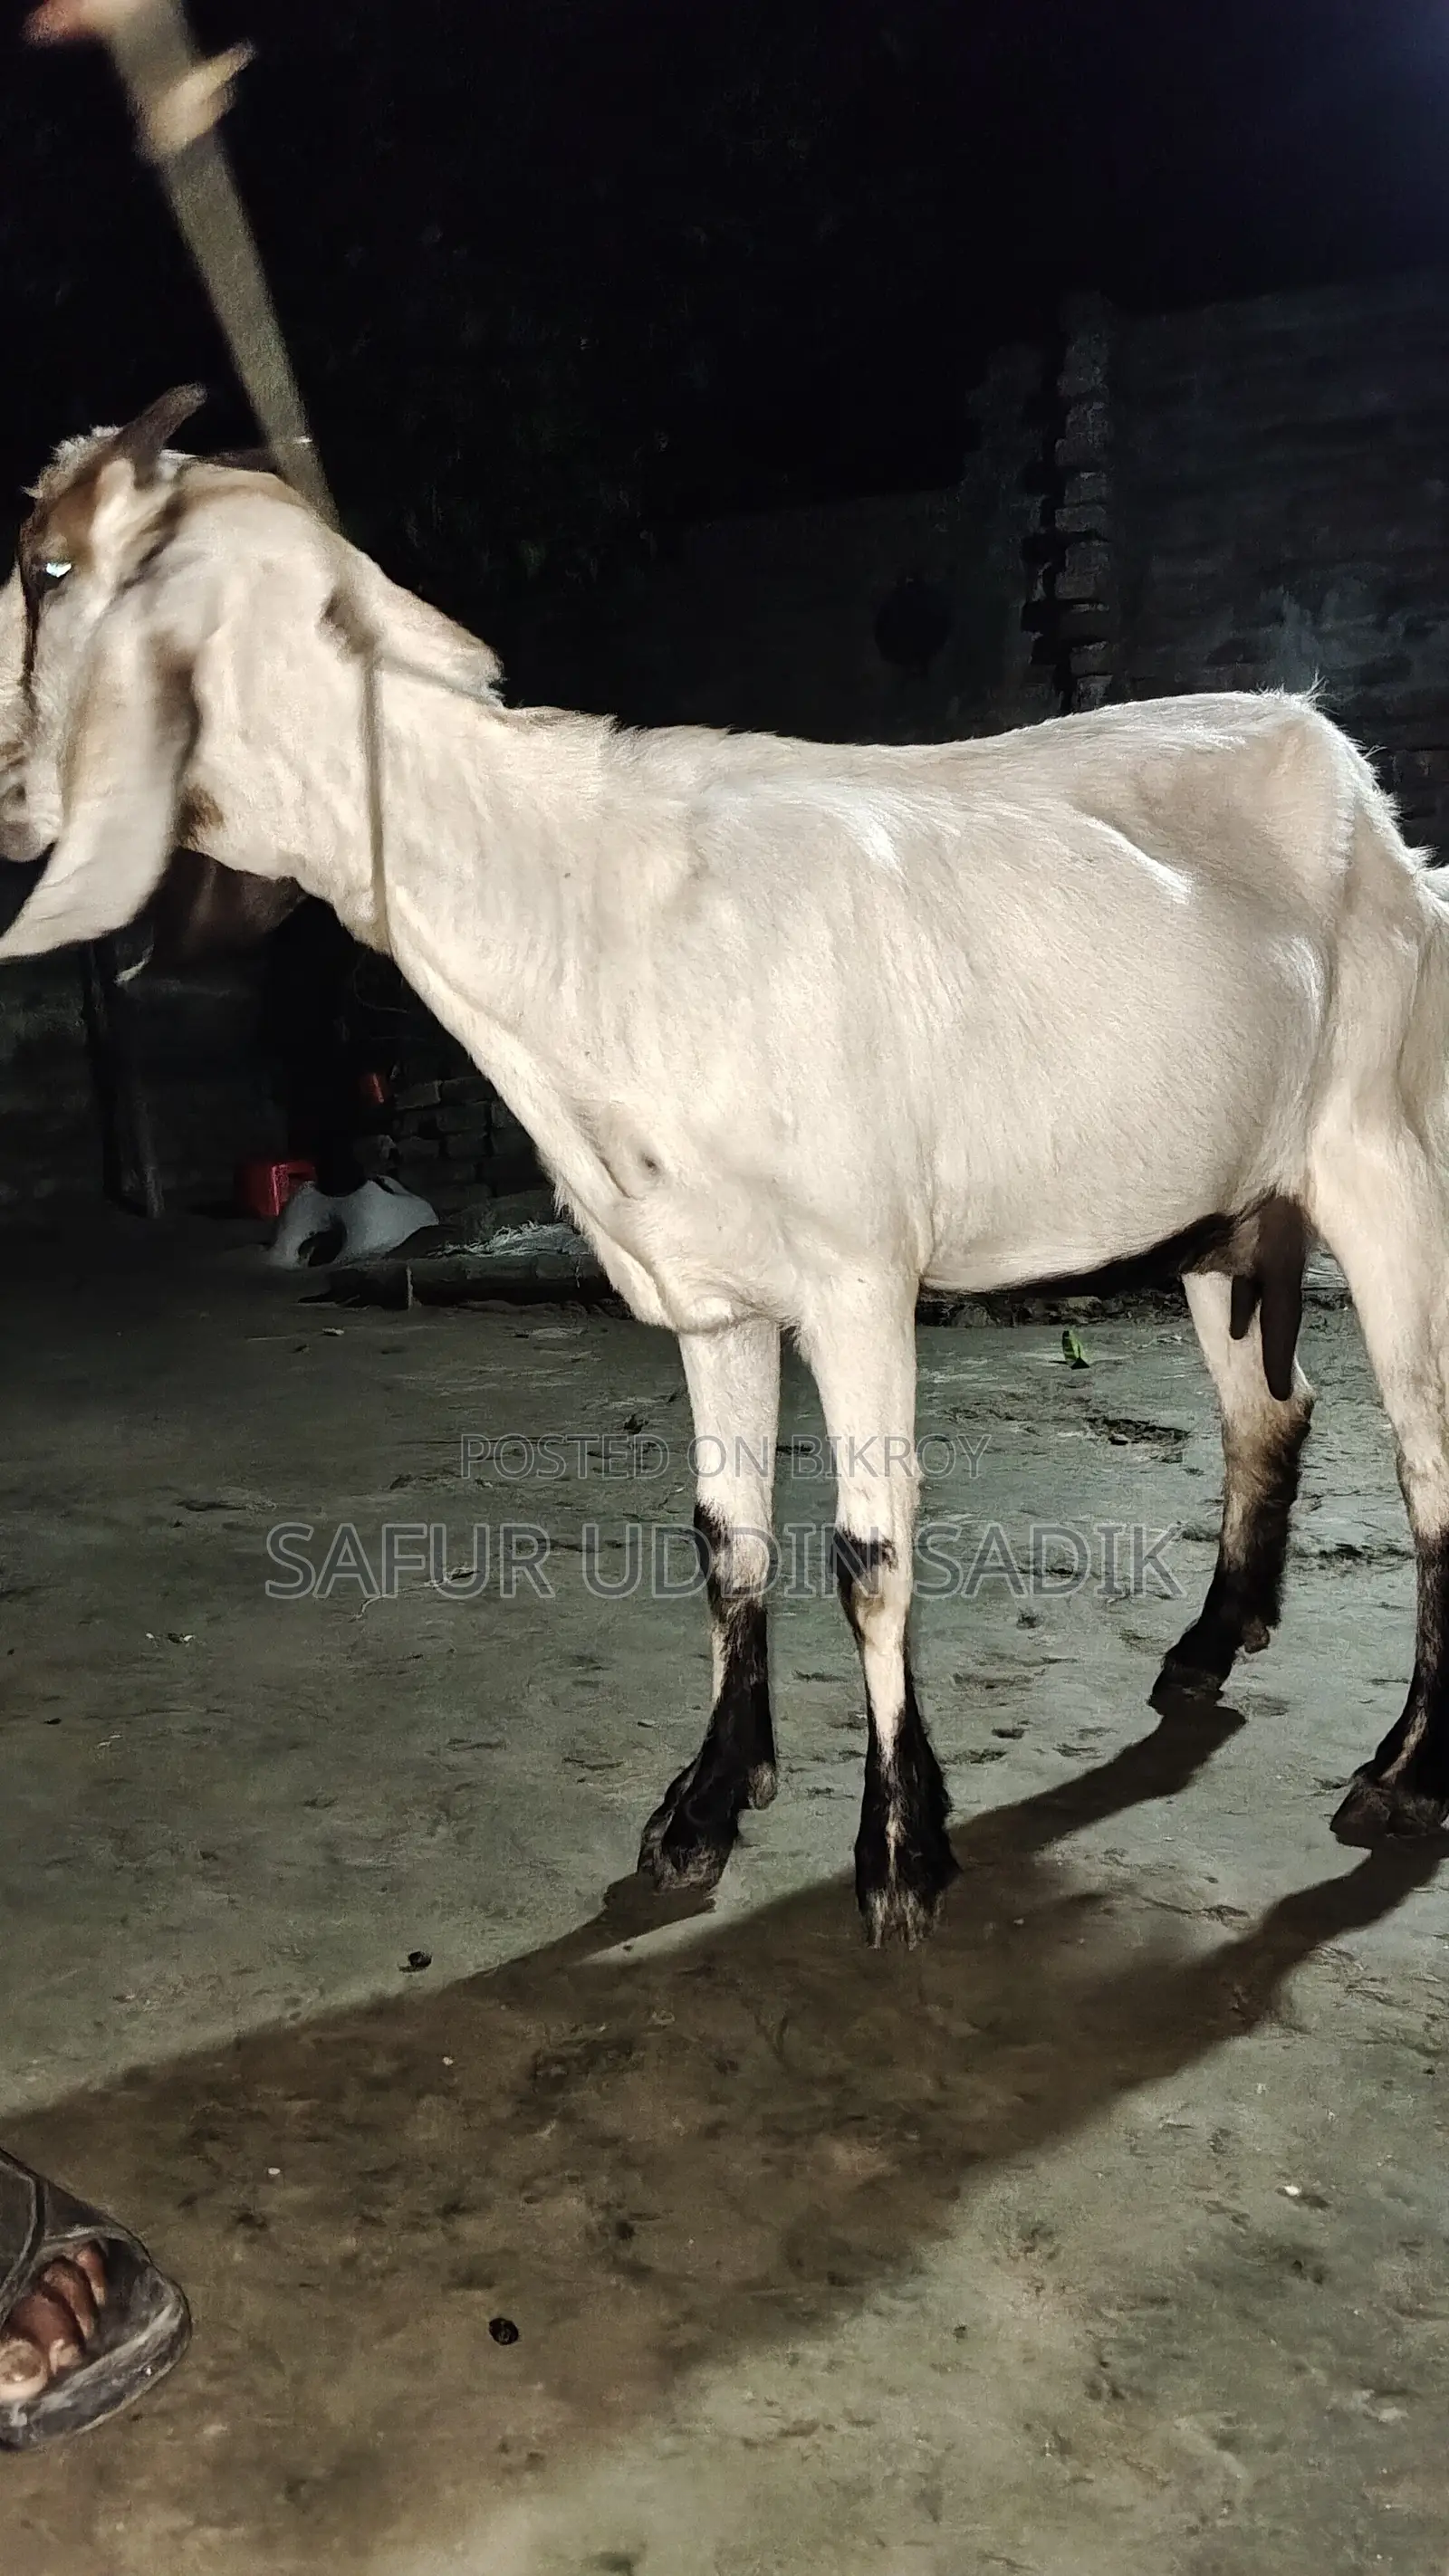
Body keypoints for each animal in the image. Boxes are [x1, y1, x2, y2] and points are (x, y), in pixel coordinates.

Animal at [3, 386, 1448, 1944]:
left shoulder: (861, 1269)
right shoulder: (711, 1286)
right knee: (1270, 1412)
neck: (587, 899)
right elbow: (725, 1539)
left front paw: (900, 1849)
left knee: (1424, 1451)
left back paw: (1401, 1772)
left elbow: (870, 1554)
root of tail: (1364, 794)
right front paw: (704, 1807)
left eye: (48, 570)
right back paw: (1206, 1652)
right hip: (1232, 1205)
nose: (8, 799)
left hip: (1383, 1153)